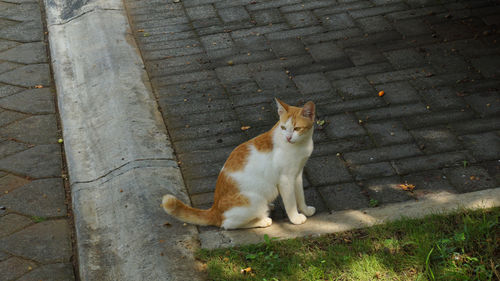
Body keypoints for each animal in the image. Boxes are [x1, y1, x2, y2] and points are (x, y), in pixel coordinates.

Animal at [162, 98, 314, 228]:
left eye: (296, 129)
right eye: (283, 128)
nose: (288, 138)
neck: (301, 145)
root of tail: (215, 209)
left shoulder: (297, 174)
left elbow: (300, 195)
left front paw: (305, 210)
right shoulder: (285, 180)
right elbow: (291, 202)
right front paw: (295, 218)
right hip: (254, 200)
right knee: (227, 224)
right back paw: (263, 220)